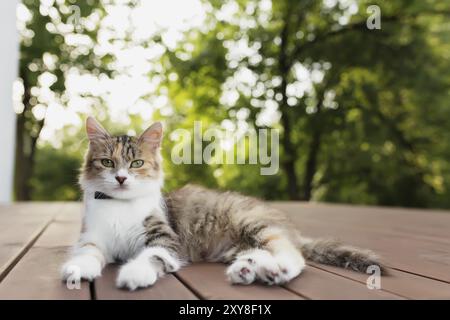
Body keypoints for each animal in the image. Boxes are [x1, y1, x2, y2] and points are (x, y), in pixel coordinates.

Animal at [60, 117, 384, 290]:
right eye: (107, 162)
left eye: (136, 163)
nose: (121, 178)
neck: (119, 205)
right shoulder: (92, 237)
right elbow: (87, 254)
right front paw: (77, 269)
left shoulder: (165, 239)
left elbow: (151, 256)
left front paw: (134, 273)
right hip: (239, 243)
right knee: (259, 253)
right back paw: (250, 270)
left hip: (253, 224)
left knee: (292, 255)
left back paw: (275, 270)